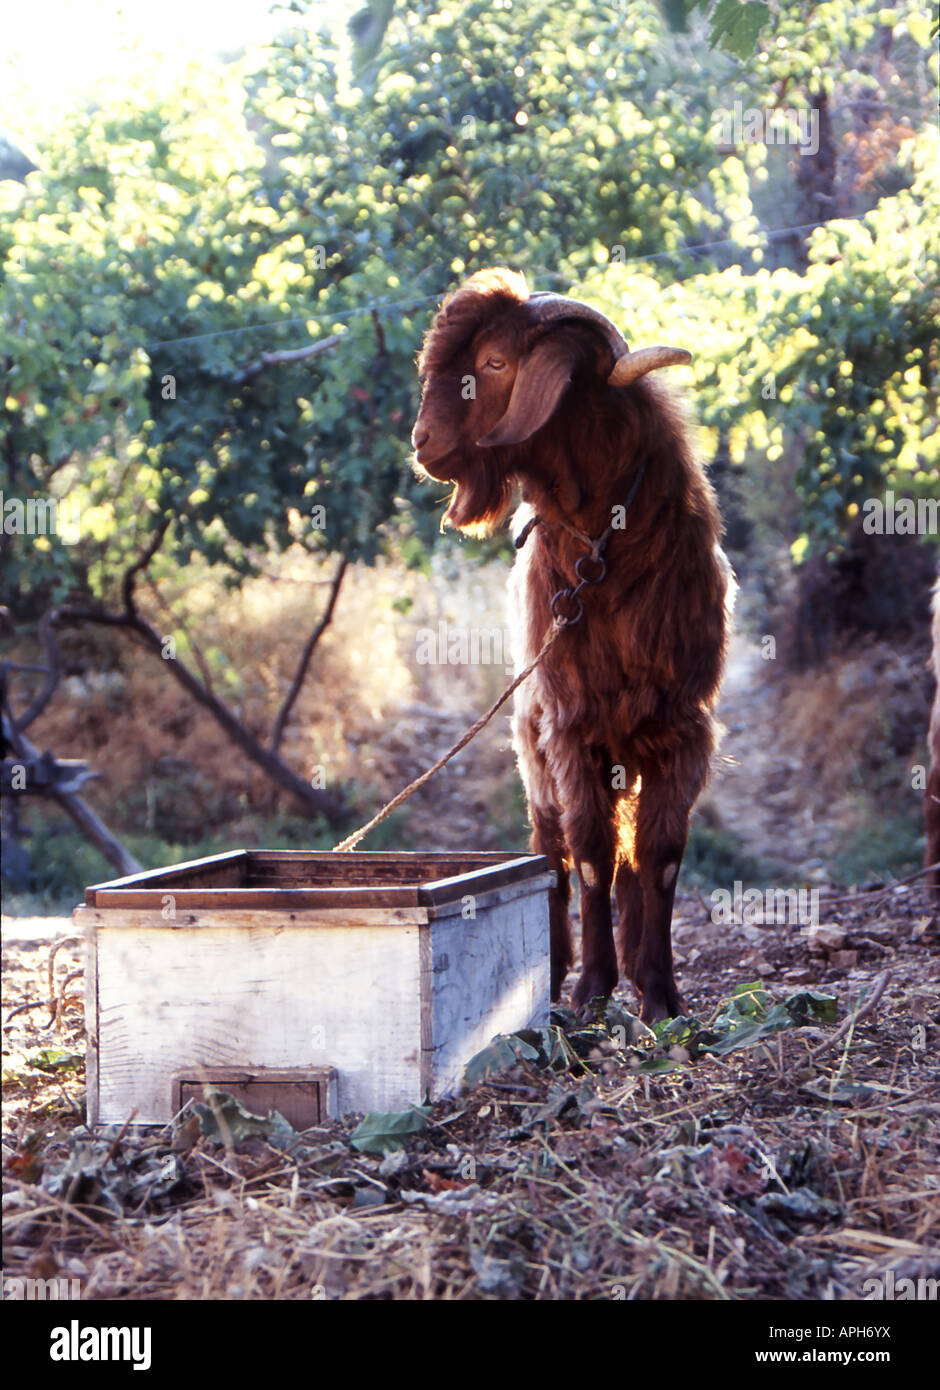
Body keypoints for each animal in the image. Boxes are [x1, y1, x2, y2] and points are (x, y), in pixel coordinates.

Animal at [412, 267, 734, 1022]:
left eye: (495, 363)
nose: (422, 443)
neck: (603, 548)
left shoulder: (684, 726)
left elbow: (659, 858)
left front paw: (660, 992)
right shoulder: (569, 723)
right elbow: (588, 853)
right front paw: (591, 989)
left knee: (627, 862)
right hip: (531, 747)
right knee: (550, 852)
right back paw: (555, 967)